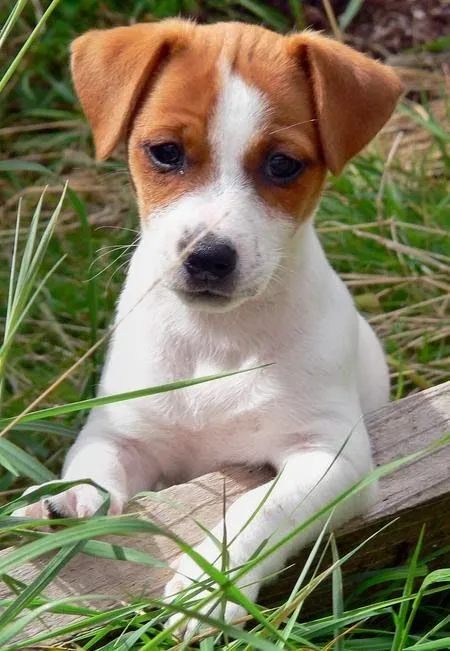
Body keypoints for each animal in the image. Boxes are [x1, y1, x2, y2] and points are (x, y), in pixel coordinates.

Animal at [17, 19, 402, 636]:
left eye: (282, 165)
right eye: (166, 153)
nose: (208, 257)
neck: (214, 339)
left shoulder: (332, 457)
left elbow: (259, 508)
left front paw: (212, 583)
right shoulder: (121, 435)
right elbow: (94, 468)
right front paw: (70, 501)